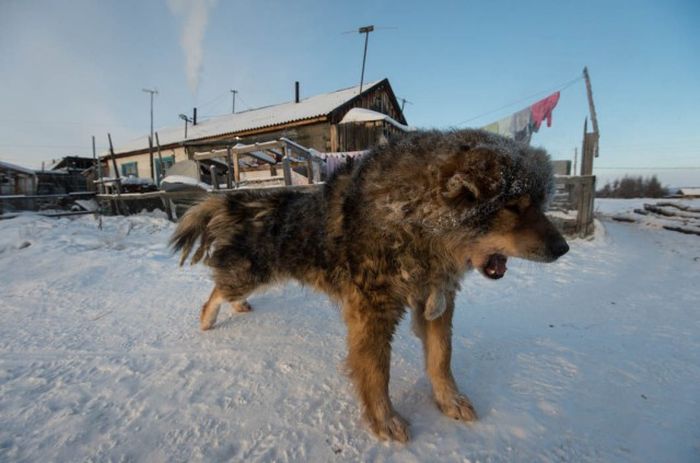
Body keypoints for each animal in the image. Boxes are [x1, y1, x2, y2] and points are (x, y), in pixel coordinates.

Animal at [170, 129, 568, 444]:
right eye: (514, 206)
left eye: (540, 204)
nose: (563, 248)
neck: (410, 218)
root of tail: (241, 200)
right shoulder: (372, 311)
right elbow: (377, 372)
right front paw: (384, 420)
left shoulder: (437, 299)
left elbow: (441, 359)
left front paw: (448, 400)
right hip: (249, 274)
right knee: (215, 291)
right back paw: (208, 319)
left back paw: (236, 308)